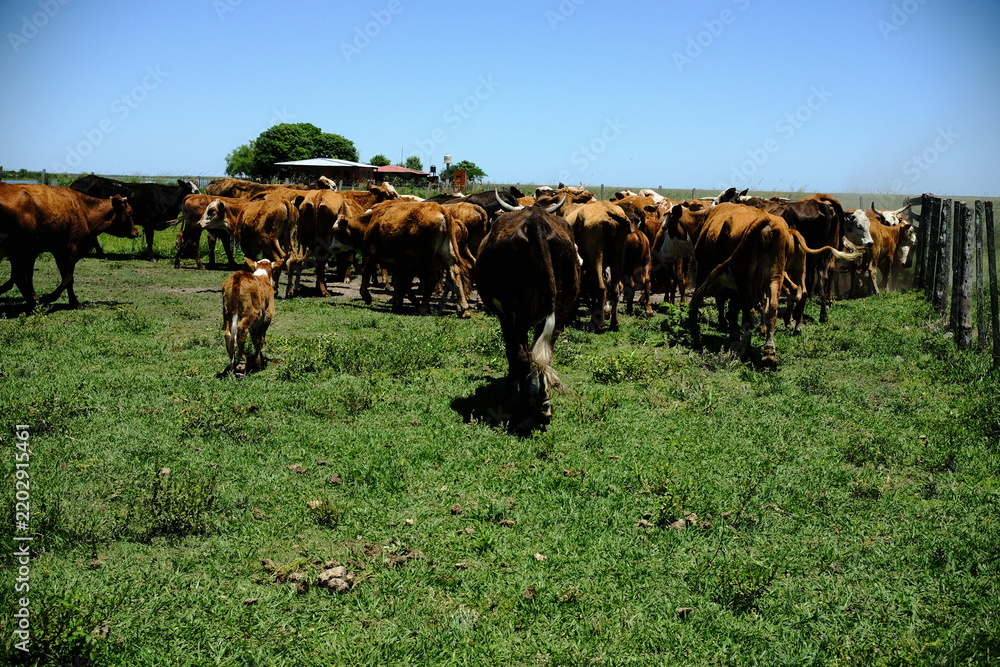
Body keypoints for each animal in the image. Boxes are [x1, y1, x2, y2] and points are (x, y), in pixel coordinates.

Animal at [0, 183, 138, 311]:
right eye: (130, 214)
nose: (136, 232)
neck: (84, 211)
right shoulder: (72, 248)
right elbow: (68, 278)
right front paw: (49, 298)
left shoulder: (59, 251)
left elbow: (66, 278)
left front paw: (74, 303)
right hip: (20, 250)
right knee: (19, 276)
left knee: (18, 276)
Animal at [474, 198, 579, 431]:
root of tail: (535, 222)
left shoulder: (505, 316)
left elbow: (514, 353)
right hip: (560, 308)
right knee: (544, 355)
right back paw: (543, 406)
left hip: (514, 310)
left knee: (522, 356)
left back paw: (522, 409)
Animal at [687, 203, 791, 367]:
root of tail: (766, 220)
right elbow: (733, 308)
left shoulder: (703, 267)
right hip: (775, 277)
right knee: (772, 309)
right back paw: (769, 353)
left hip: (744, 279)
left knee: (749, 313)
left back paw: (745, 351)